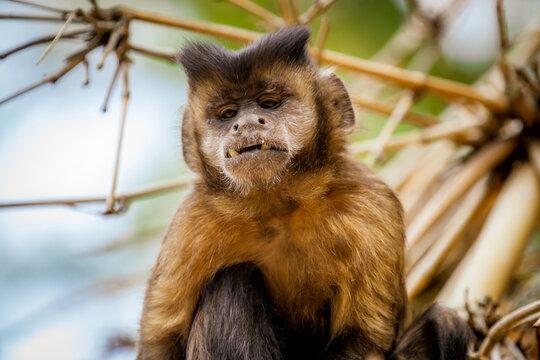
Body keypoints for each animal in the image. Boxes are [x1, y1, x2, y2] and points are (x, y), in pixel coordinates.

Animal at [136, 26, 472, 358]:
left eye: (269, 103)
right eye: (228, 113)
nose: (246, 123)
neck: (277, 205)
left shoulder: (371, 204)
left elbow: (364, 338)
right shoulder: (192, 224)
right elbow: (160, 343)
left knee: (445, 324)